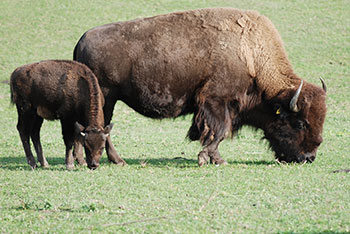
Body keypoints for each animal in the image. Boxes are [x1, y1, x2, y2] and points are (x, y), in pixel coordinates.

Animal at [72, 7, 326, 166]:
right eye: (300, 122)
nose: (309, 157)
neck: (252, 55)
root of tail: (81, 41)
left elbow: (216, 132)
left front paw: (213, 157)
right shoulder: (217, 102)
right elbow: (218, 131)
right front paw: (210, 158)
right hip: (106, 98)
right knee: (103, 127)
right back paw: (117, 160)